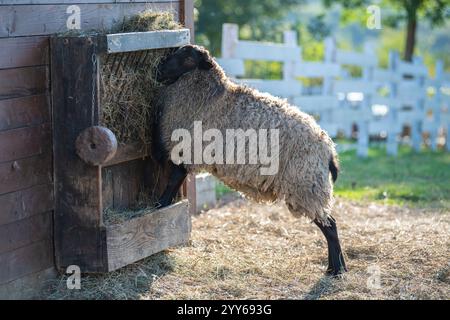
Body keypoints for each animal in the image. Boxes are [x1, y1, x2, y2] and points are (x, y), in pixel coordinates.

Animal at [153, 44, 346, 276]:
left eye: (188, 58)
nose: (159, 69)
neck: (213, 98)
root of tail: (328, 148)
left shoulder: (186, 152)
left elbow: (173, 182)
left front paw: (159, 205)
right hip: (310, 185)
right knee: (330, 222)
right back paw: (336, 267)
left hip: (305, 183)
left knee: (330, 226)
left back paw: (336, 269)